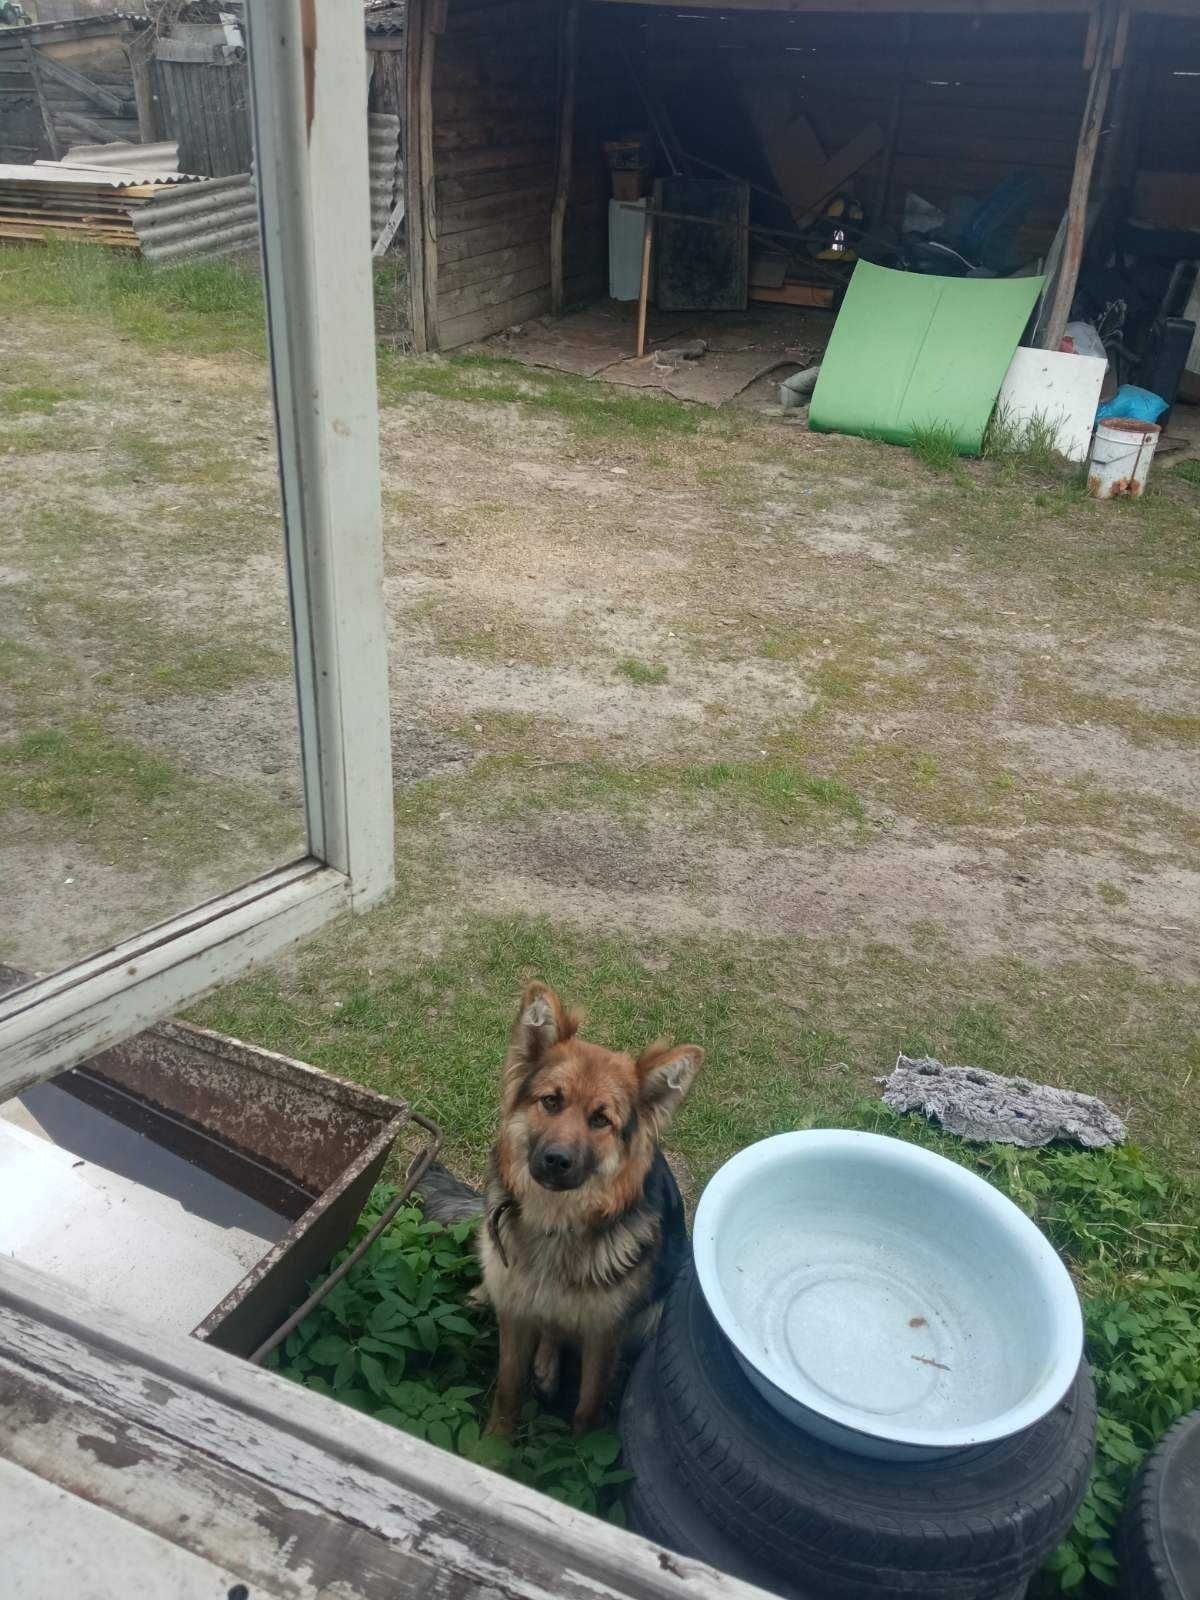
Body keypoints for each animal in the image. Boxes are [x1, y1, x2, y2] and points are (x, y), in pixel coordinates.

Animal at [425, 985, 700, 1440]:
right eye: (551, 1101)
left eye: (601, 1120)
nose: (556, 1161)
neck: (555, 1222)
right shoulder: (516, 1315)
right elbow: (507, 1390)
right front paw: (495, 1446)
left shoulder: (603, 1333)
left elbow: (588, 1407)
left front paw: (580, 1451)